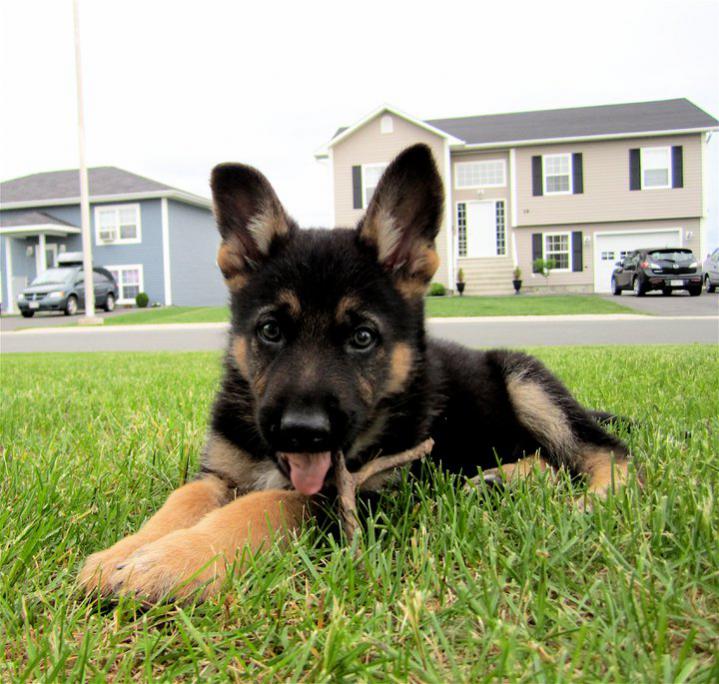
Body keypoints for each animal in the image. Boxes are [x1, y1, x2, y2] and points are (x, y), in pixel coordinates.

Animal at [80, 143, 632, 600]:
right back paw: (501, 479)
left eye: (362, 337)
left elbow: (264, 506)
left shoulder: (356, 495)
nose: (302, 433)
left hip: (526, 380)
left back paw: (595, 501)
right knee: (553, 463)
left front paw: (170, 562)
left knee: (606, 453)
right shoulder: (222, 472)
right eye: (271, 331)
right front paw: (124, 552)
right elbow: (184, 497)